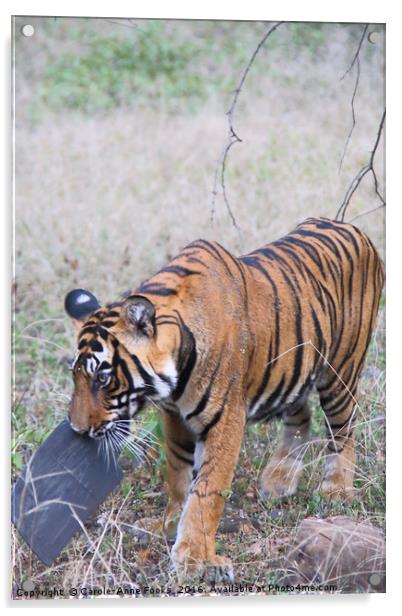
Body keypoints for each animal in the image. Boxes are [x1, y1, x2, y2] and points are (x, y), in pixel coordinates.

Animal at [65, 217, 384, 584]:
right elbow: (178, 475)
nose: (77, 429)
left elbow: (207, 489)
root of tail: (350, 227)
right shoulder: (175, 418)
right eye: (75, 376)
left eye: (102, 378)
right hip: (291, 367)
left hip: (341, 371)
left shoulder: (226, 418)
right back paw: (279, 479)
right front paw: (169, 524)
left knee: (343, 430)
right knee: (301, 417)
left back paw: (335, 489)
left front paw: (193, 557)